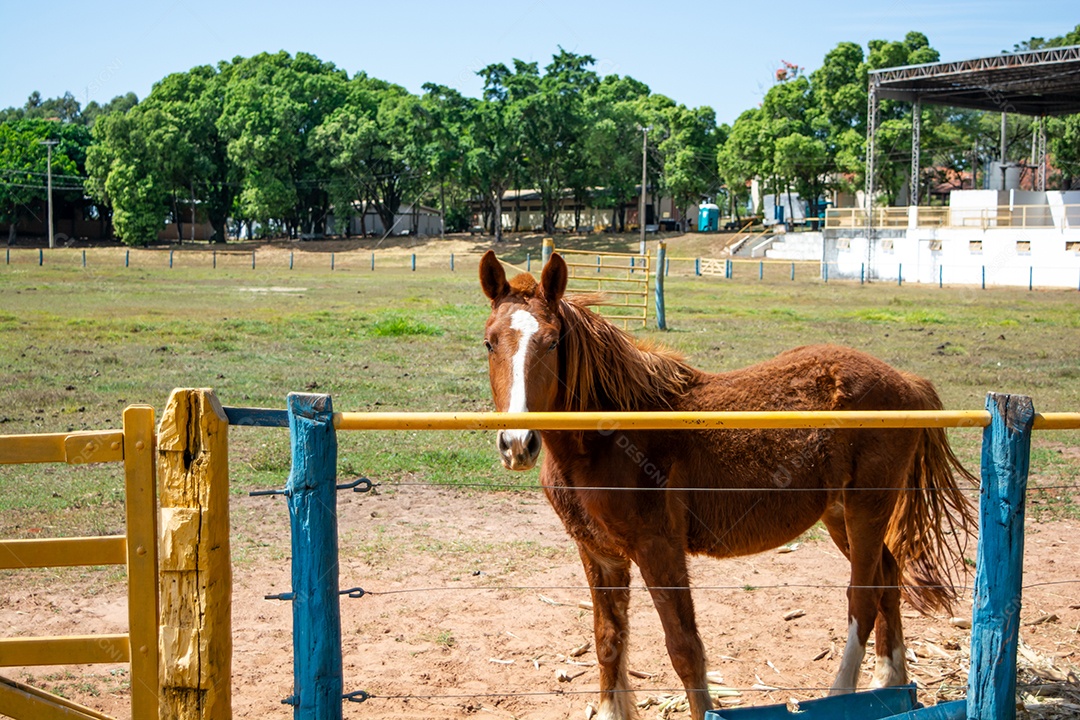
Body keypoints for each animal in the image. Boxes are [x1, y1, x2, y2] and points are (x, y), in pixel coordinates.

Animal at [478, 250, 977, 720]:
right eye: (488, 342)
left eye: (552, 342)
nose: (517, 444)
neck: (609, 436)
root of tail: (906, 382)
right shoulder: (599, 553)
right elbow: (607, 640)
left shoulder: (658, 548)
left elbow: (684, 648)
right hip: (840, 516)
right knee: (888, 577)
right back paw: (889, 684)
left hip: (866, 509)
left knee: (864, 597)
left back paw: (842, 696)